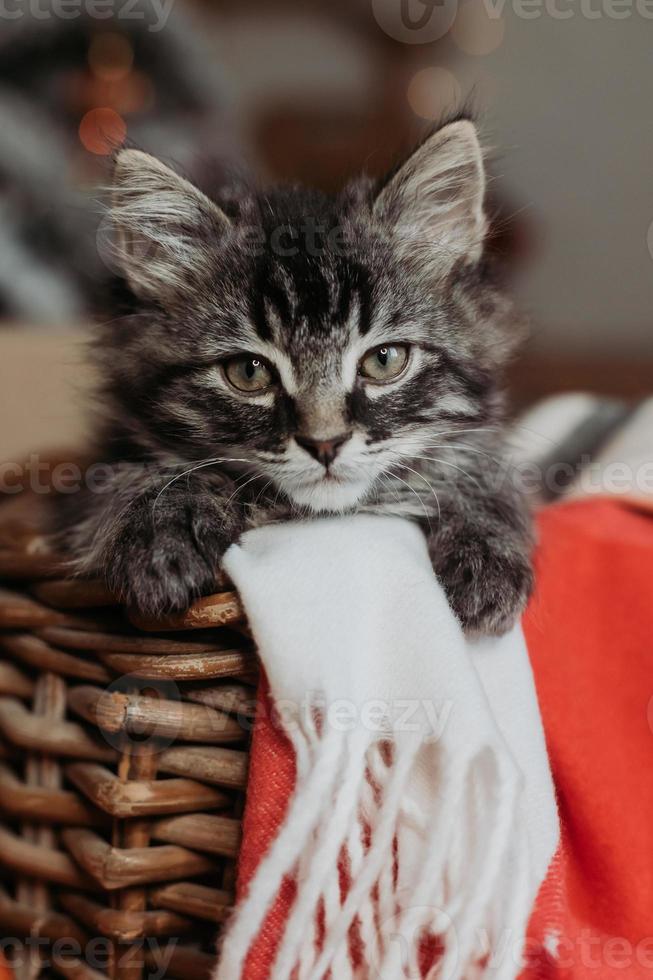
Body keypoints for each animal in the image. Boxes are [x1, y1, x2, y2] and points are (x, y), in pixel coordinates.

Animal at [67, 117, 536, 636]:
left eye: (384, 360)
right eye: (248, 372)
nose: (325, 444)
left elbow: (484, 474)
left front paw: (485, 547)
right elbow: (130, 480)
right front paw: (161, 534)